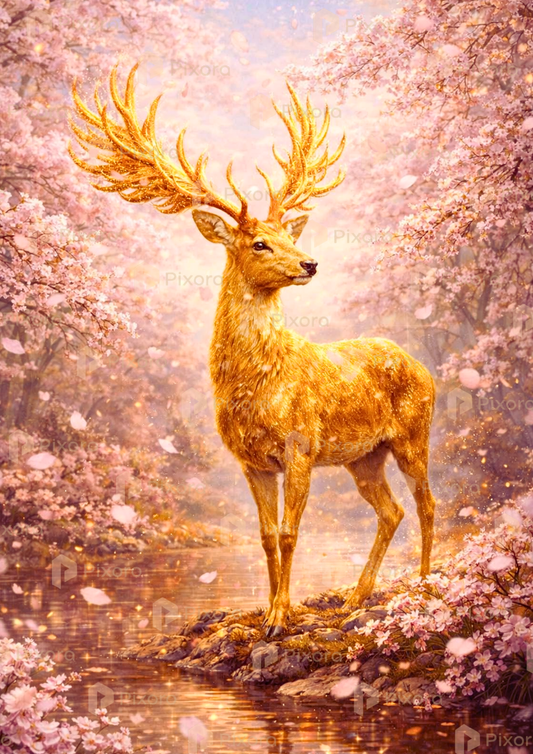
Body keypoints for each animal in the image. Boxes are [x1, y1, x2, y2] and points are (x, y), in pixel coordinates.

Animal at [69, 64, 437, 636]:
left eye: (288, 234)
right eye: (260, 243)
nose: (310, 262)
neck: (260, 383)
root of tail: (423, 366)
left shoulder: (301, 443)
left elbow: (289, 532)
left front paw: (283, 617)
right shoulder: (251, 461)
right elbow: (265, 535)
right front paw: (268, 612)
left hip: (413, 432)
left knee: (428, 501)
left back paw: (421, 583)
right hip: (364, 456)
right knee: (391, 510)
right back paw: (356, 596)